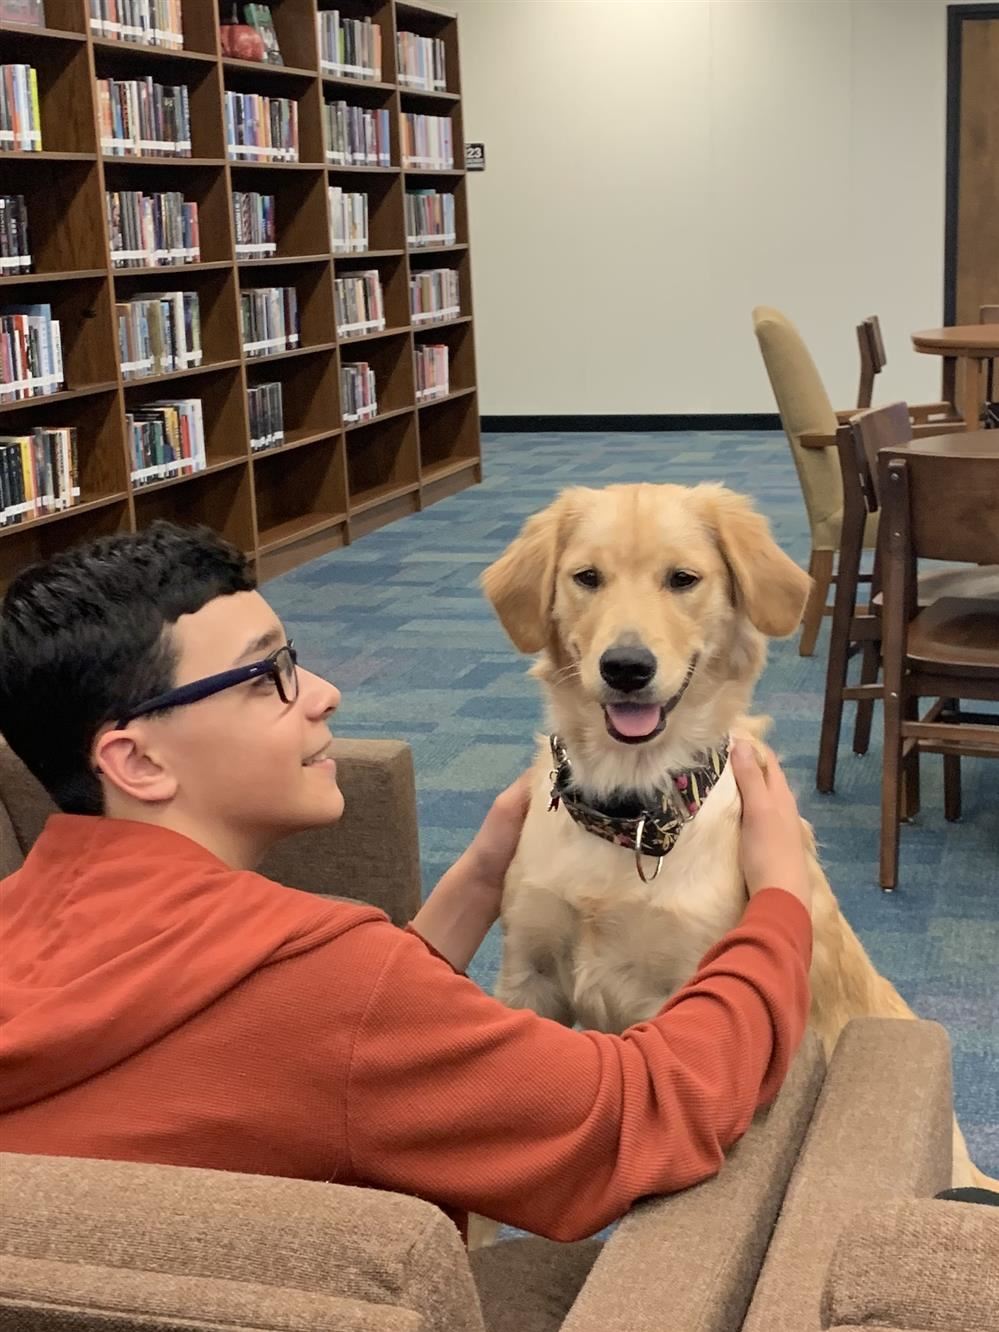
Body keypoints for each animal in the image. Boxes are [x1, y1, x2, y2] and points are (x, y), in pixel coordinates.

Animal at [476, 479, 996, 1209]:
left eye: (682, 579)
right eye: (587, 578)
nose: (626, 668)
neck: (632, 812)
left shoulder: (684, 1011)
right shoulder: (529, 979)